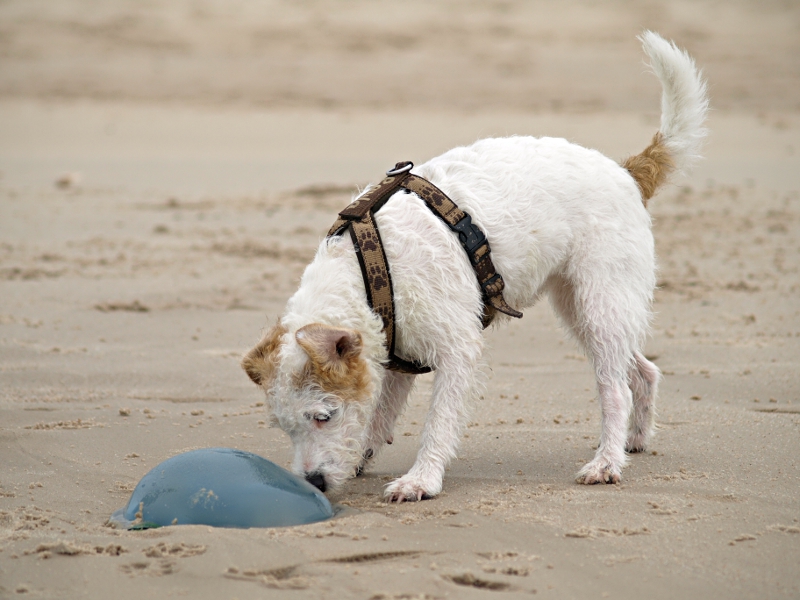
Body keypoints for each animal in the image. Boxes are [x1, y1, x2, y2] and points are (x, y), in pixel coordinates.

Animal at [242, 31, 708, 502]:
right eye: (283, 425)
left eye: (325, 415)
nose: (314, 483)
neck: (371, 272)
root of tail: (626, 172)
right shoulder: (397, 357)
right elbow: (381, 414)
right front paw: (363, 459)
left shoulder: (456, 349)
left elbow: (438, 424)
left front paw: (420, 480)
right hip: (581, 308)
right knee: (643, 370)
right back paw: (635, 440)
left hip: (601, 302)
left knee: (615, 390)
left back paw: (607, 462)